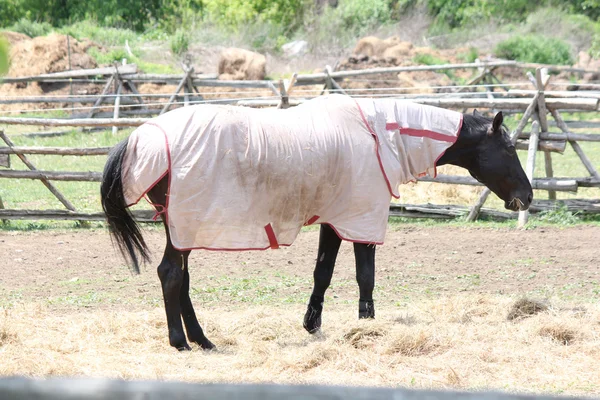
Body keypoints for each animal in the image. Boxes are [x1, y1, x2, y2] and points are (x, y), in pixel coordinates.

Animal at [101, 94, 532, 350]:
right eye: (509, 148)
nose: (527, 197)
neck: (378, 134)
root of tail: (140, 138)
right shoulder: (361, 218)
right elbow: (365, 276)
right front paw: (367, 326)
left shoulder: (335, 219)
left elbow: (322, 273)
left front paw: (313, 324)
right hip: (187, 225)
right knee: (171, 274)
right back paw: (181, 341)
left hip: (185, 229)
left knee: (182, 280)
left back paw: (203, 340)